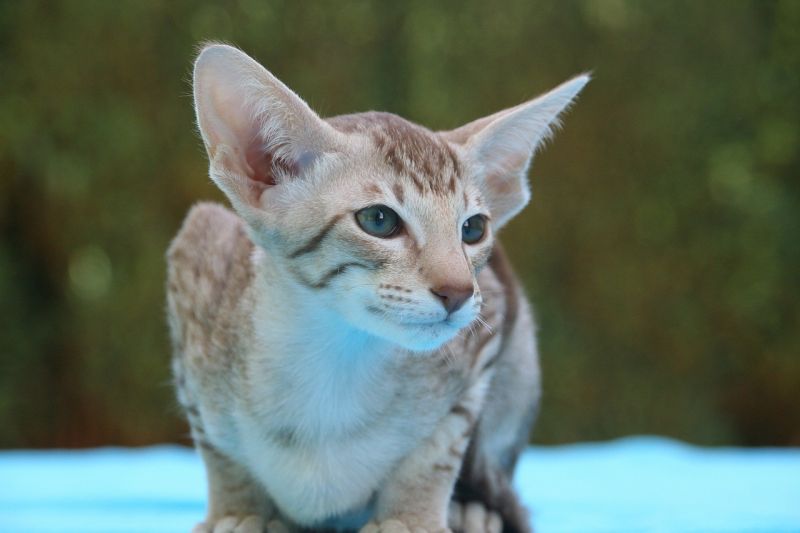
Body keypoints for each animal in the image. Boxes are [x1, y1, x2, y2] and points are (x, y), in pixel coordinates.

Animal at [167, 44, 588, 532]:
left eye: (473, 229)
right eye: (379, 220)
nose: (458, 291)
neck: (335, 359)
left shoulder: (488, 328)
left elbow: (440, 445)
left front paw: (412, 517)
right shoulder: (196, 261)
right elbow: (219, 451)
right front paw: (238, 512)